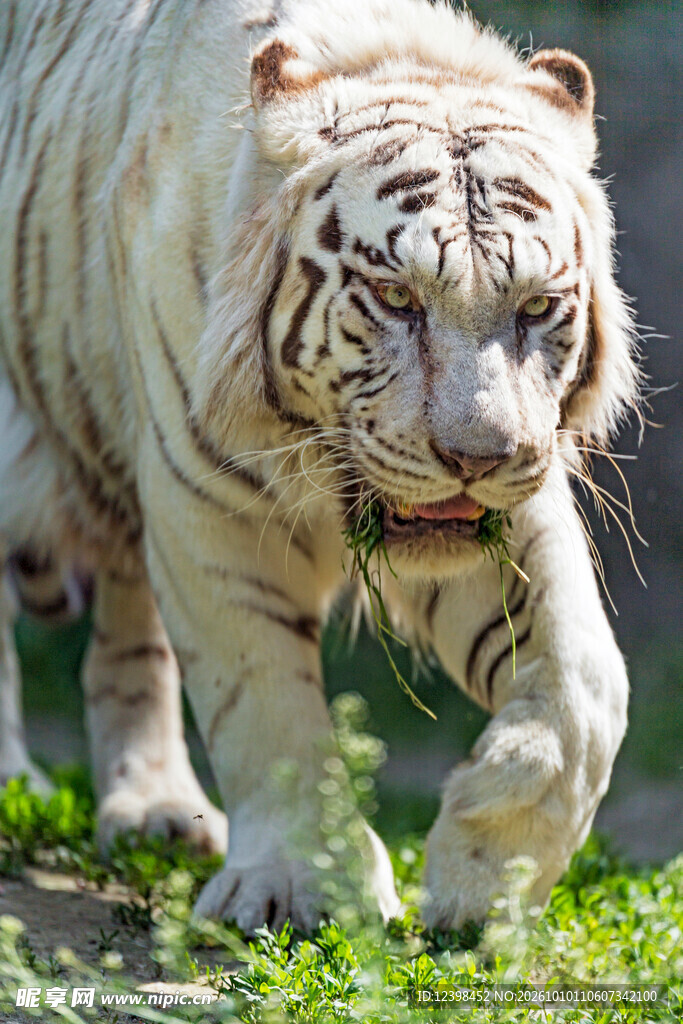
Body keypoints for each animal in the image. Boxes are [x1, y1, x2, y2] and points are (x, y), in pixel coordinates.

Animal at [0, 0, 640, 933]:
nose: (475, 457)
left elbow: (584, 686)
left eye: (534, 307)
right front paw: (296, 884)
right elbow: (262, 699)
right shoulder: (207, 503)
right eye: (398, 298)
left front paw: (483, 873)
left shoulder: (514, 509)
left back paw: (158, 814)